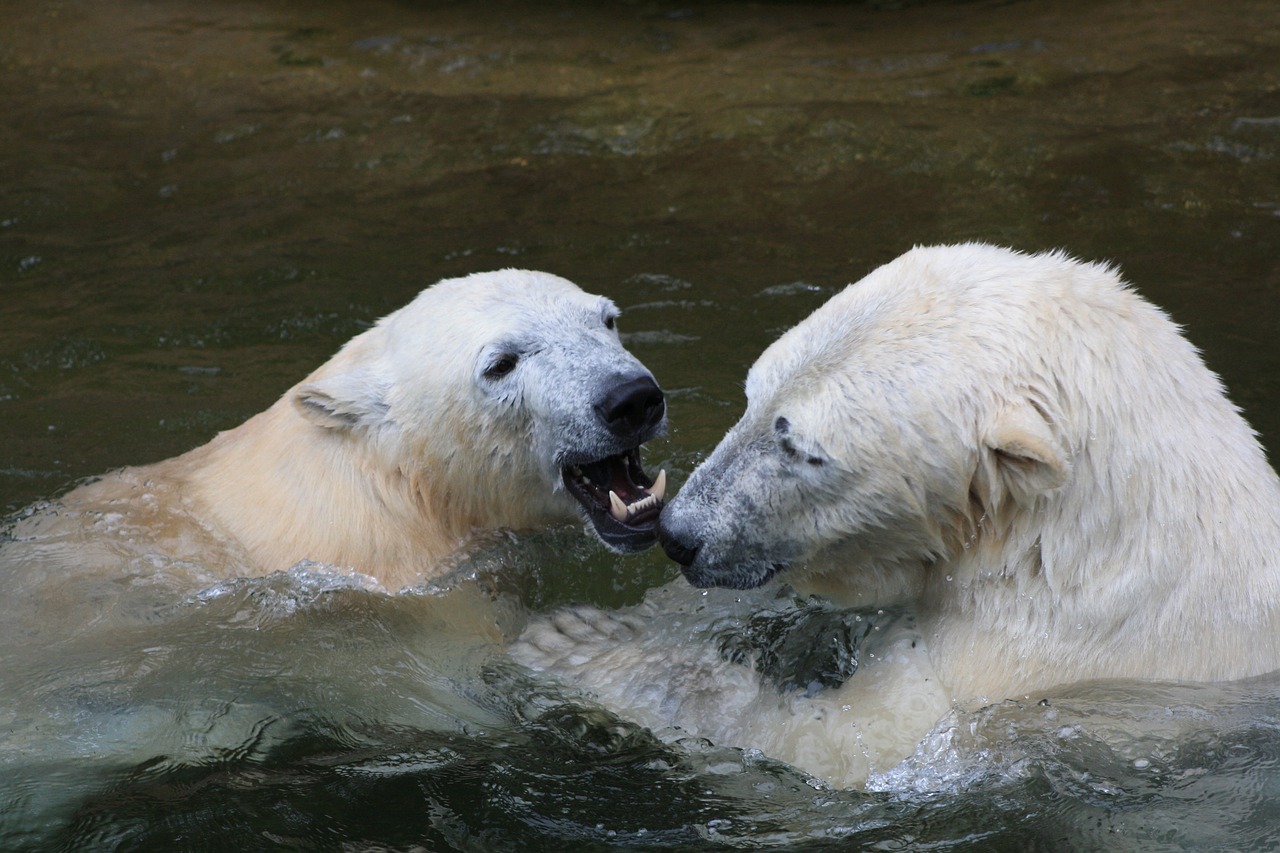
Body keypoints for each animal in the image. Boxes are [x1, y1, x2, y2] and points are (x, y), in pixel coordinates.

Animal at [514, 242, 1280, 788]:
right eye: (752, 396)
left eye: (806, 450)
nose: (679, 536)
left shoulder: (1016, 670)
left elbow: (834, 749)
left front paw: (578, 643)